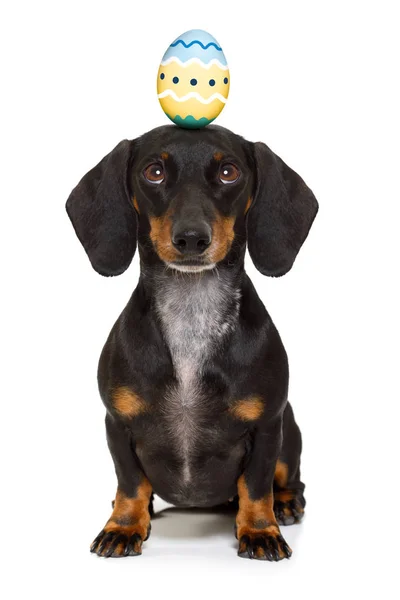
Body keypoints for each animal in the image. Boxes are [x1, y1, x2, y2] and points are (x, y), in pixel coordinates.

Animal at [66, 124, 318, 560]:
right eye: (153, 172)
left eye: (230, 172)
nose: (191, 238)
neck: (191, 316)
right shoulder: (118, 423)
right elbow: (130, 482)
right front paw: (124, 525)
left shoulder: (268, 425)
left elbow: (256, 486)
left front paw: (260, 531)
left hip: (290, 430)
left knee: (288, 479)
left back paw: (285, 503)